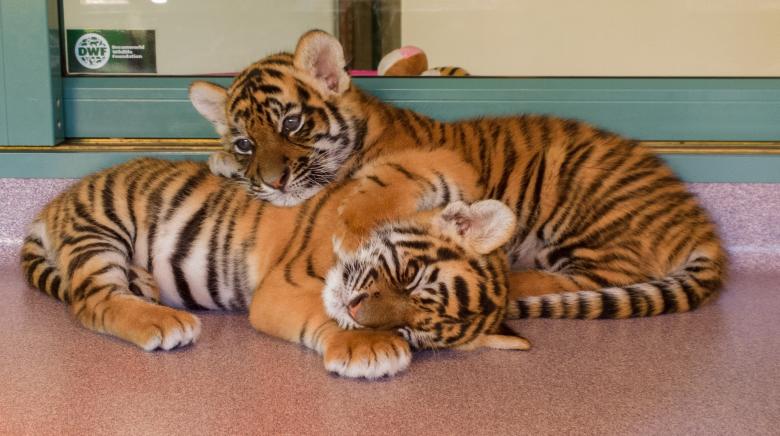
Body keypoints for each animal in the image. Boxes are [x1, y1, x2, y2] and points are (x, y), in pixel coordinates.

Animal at [20, 148, 530, 379]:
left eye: (408, 330)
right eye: (407, 276)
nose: (358, 312)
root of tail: (52, 205)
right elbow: (393, 181)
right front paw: (365, 346)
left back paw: (143, 284)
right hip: (102, 224)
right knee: (92, 302)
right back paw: (162, 321)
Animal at [190, 29, 726, 319]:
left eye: (291, 123)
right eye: (245, 142)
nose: (272, 182)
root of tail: (698, 222)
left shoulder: (431, 161)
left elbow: (381, 182)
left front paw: (351, 226)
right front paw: (221, 163)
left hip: (584, 215)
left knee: (602, 277)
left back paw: (516, 278)